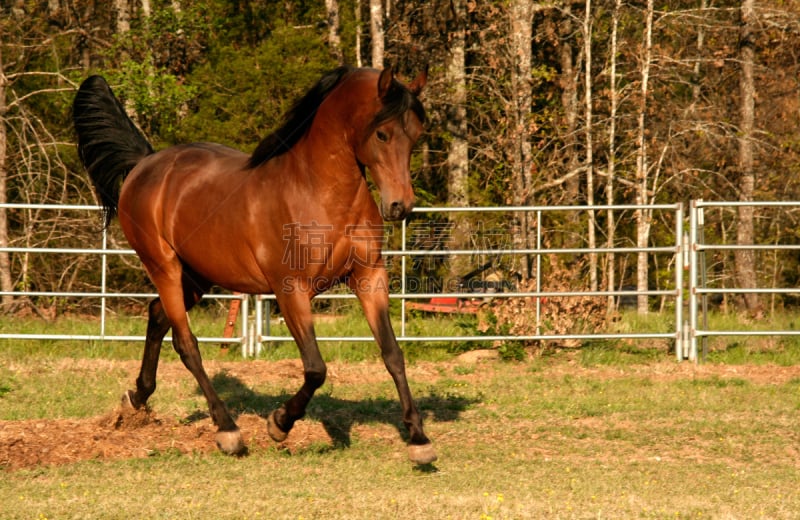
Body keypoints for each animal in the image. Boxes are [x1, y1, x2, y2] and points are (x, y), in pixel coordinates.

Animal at [73, 66, 438, 464]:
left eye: (416, 135)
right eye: (382, 133)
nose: (401, 206)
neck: (317, 192)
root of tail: (145, 164)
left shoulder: (369, 278)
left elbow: (392, 354)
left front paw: (419, 439)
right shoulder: (290, 290)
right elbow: (316, 369)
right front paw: (279, 423)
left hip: (197, 277)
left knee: (157, 316)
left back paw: (136, 398)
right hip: (164, 267)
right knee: (186, 344)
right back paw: (228, 430)